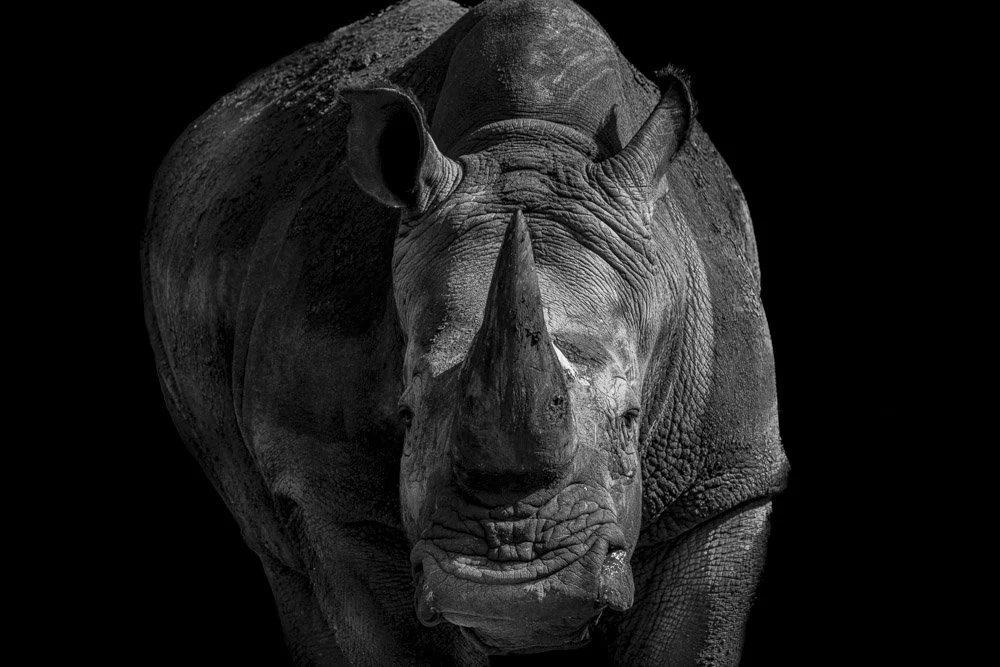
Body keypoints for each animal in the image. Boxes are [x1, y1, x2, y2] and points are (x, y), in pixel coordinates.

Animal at [142, 0, 789, 663]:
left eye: (631, 418)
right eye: (405, 415)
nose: (515, 592)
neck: (529, 140)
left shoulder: (726, 479)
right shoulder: (326, 490)